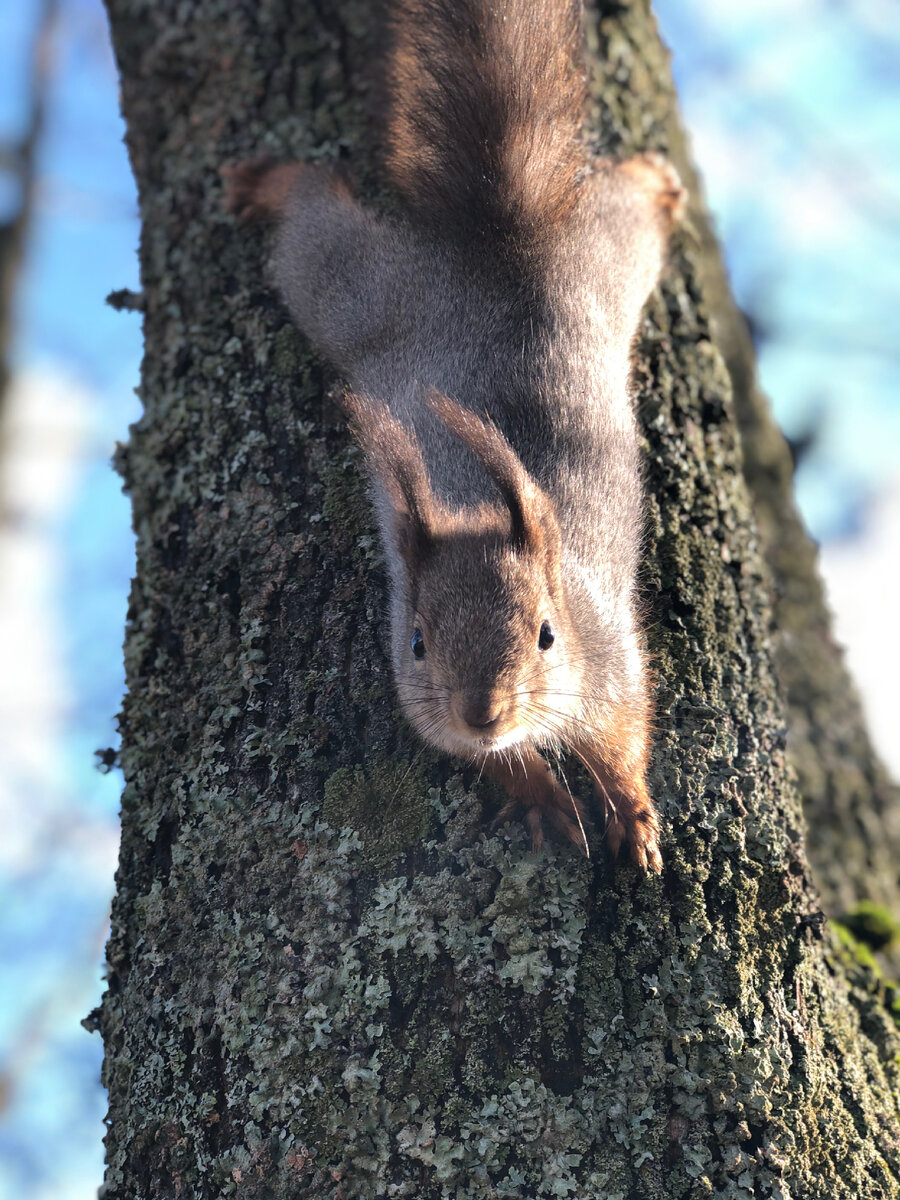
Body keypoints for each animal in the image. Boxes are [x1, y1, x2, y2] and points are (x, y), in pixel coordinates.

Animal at [224, 0, 681, 868]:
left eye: (546, 635)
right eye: (417, 644)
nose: (483, 712)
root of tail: (494, 241)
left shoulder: (612, 659)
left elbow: (624, 734)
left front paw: (633, 812)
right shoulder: (423, 704)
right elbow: (490, 762)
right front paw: (541, 796)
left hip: (577, 268)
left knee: (621, 207)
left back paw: (654, 176)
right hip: (360, 294)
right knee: (315, 211)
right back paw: (267, 181)